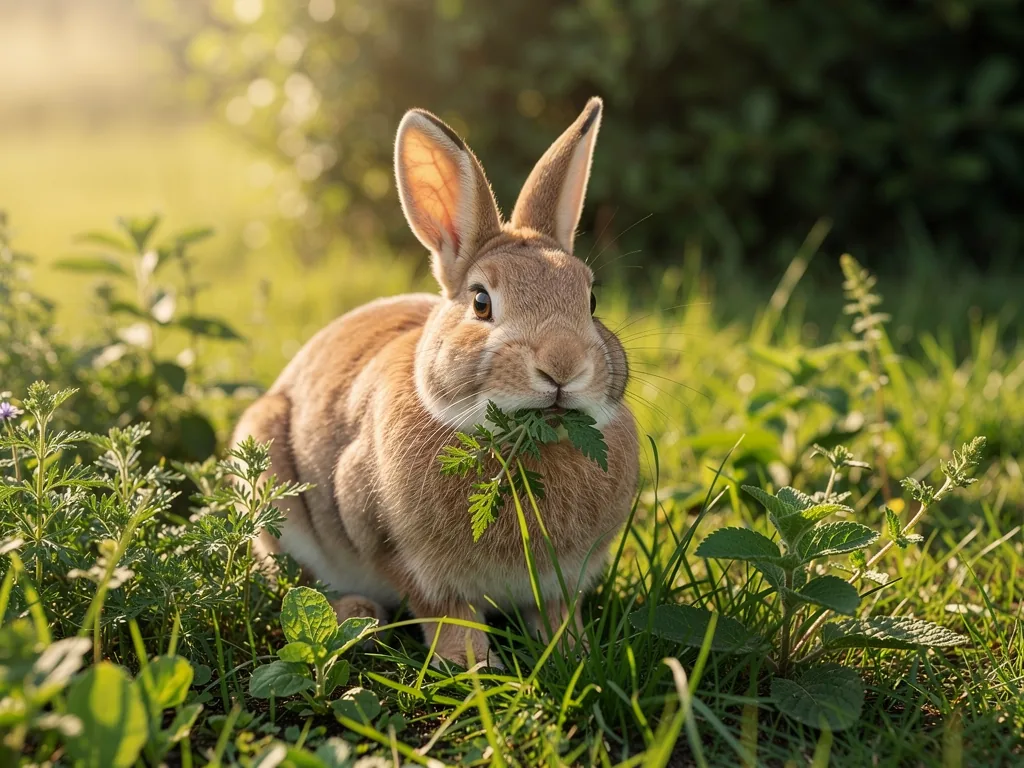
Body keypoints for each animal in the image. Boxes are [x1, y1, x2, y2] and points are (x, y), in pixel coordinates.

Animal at [231, 97, 639, 668]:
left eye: (592, 300)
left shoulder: (566, 579)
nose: (563, 366)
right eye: (481, 301)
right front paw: (473, 667)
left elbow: (560, 612)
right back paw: (359, 617)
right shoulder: (402, 554)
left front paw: (573, 653)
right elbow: (448, 614)